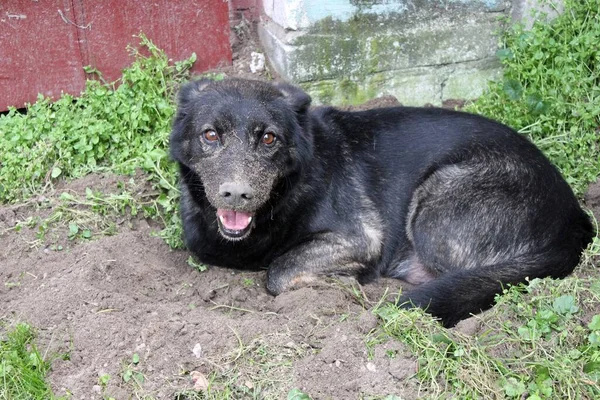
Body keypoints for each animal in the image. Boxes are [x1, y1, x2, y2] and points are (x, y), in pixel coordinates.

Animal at [170, 79, 596, 328]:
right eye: (210, 135)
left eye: (269, 139)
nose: (236, 194)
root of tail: (576, 218)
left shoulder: (362, 237)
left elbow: (278, 270)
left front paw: (336, 285)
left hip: (436, 204)